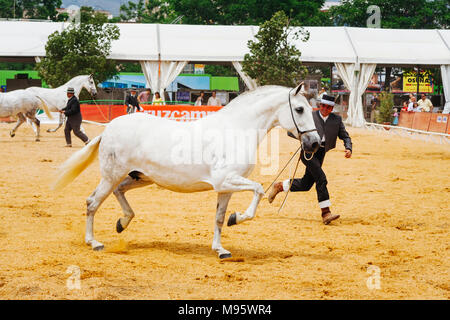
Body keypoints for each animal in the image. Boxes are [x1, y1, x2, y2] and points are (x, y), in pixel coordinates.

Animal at [51, 84, 320, 258]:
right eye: (299, 109)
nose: (315, 143)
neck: (237, 129)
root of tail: (109, 129)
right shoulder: (226, 180)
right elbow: (259, 191)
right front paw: (237, 218)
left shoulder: (226, 188)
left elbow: (219, 217)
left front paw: (221, 249)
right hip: (111, 175)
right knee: (92, 203)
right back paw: (94, 242)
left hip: (140, 177)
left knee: (119, 193)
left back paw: (122, 223)